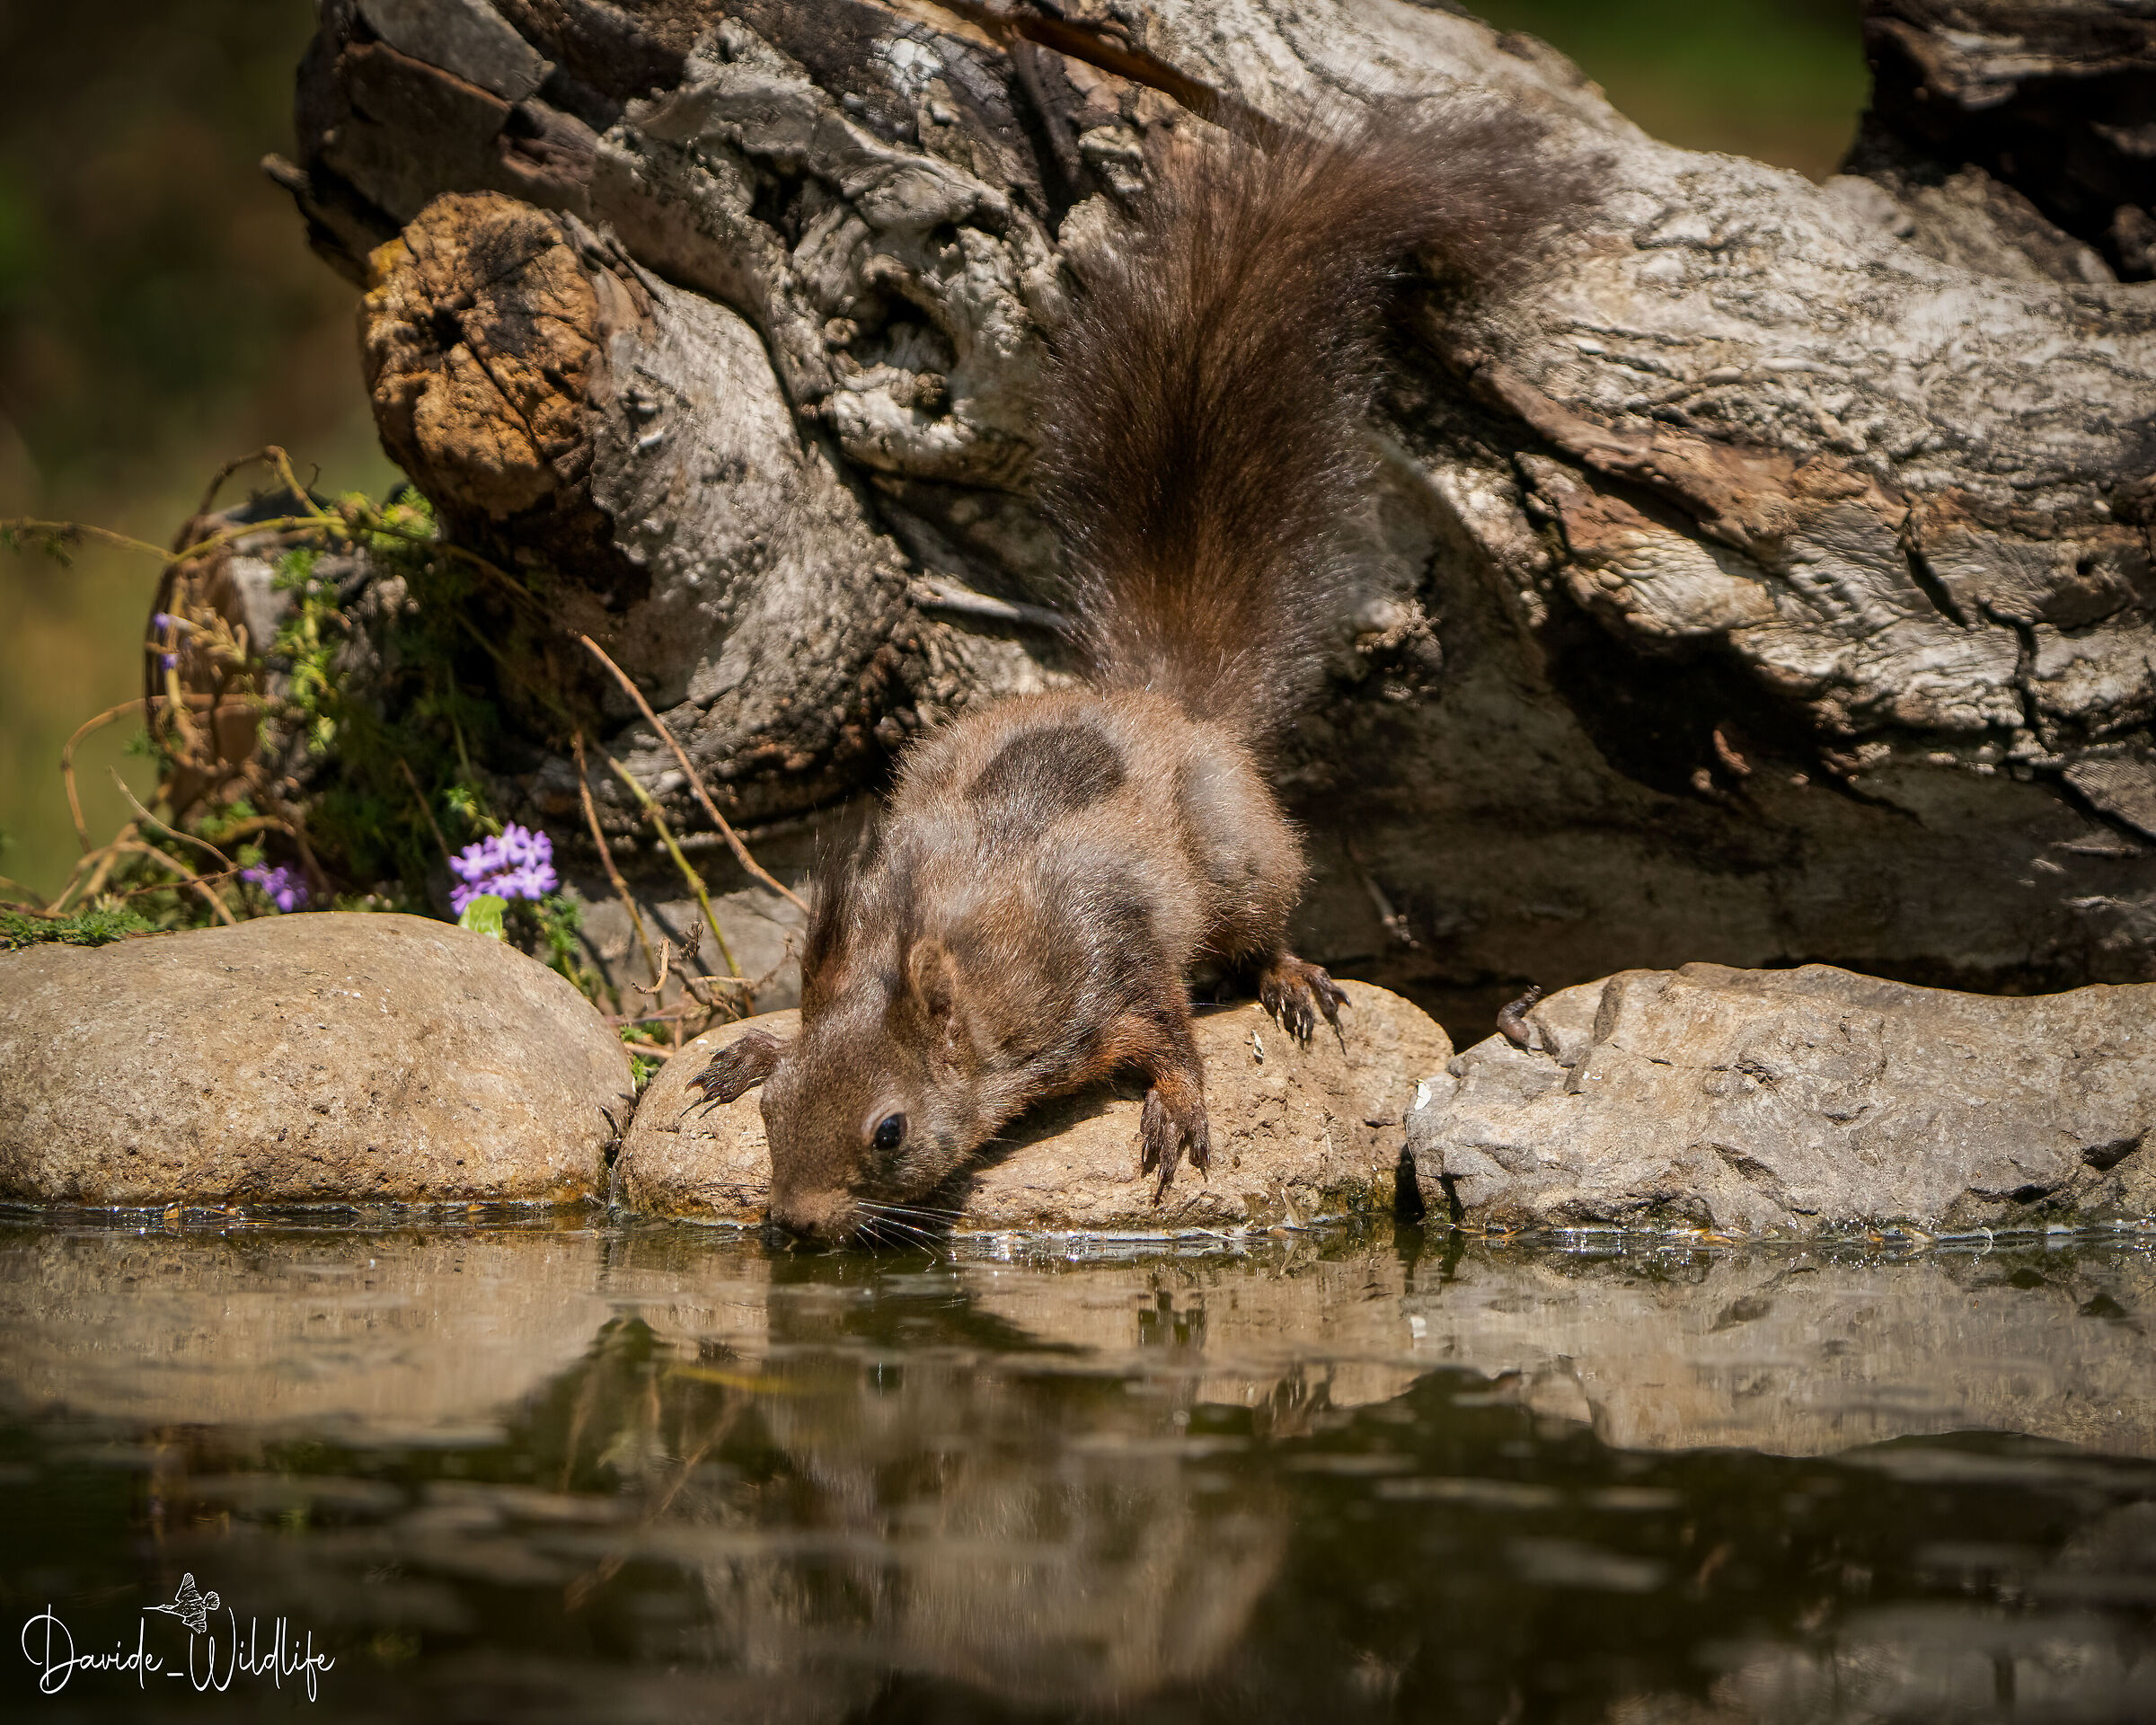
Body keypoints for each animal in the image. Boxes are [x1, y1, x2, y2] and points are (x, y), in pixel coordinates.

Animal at [690, 101, 1566, 1244]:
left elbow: (1171, 1031)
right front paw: (750, 1047)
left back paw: (1287, 973)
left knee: (1260, 927)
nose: (796, 1221)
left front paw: (1180, 1106)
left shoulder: (1111, 971)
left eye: (888, 1132)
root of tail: (1153, 704)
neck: (953, 956)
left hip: (1242, 858)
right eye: (777, 1109)